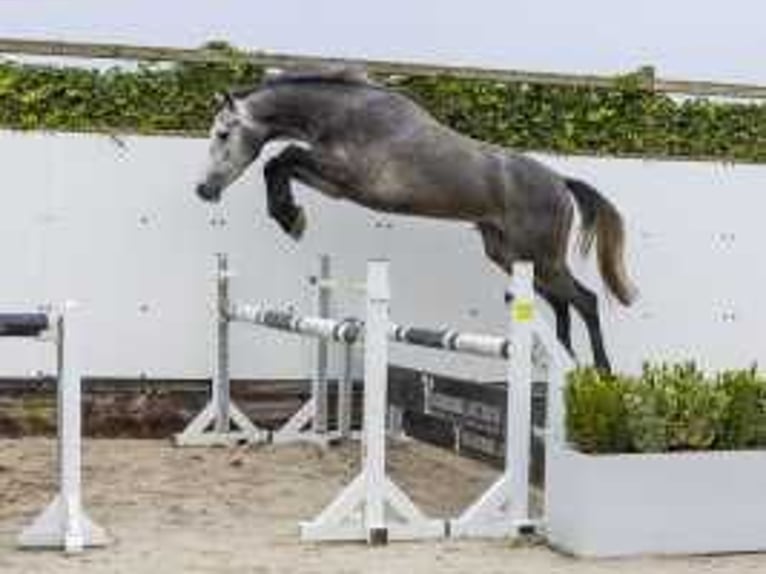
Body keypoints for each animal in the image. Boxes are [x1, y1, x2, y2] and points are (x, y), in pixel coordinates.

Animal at [198, 68, 636, 374]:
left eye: (222, 134)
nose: (204, 190)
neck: (345, 114)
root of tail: (560, 181)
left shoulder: (347, 175)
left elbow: (282, 158)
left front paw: (290, 218)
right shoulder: (334, 182)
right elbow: (281, 164)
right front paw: (290, 216)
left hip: (540, 258)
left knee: (586, 300)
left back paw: (601, 371)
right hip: (512, 256)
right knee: (563, 304)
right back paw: (568, 362)